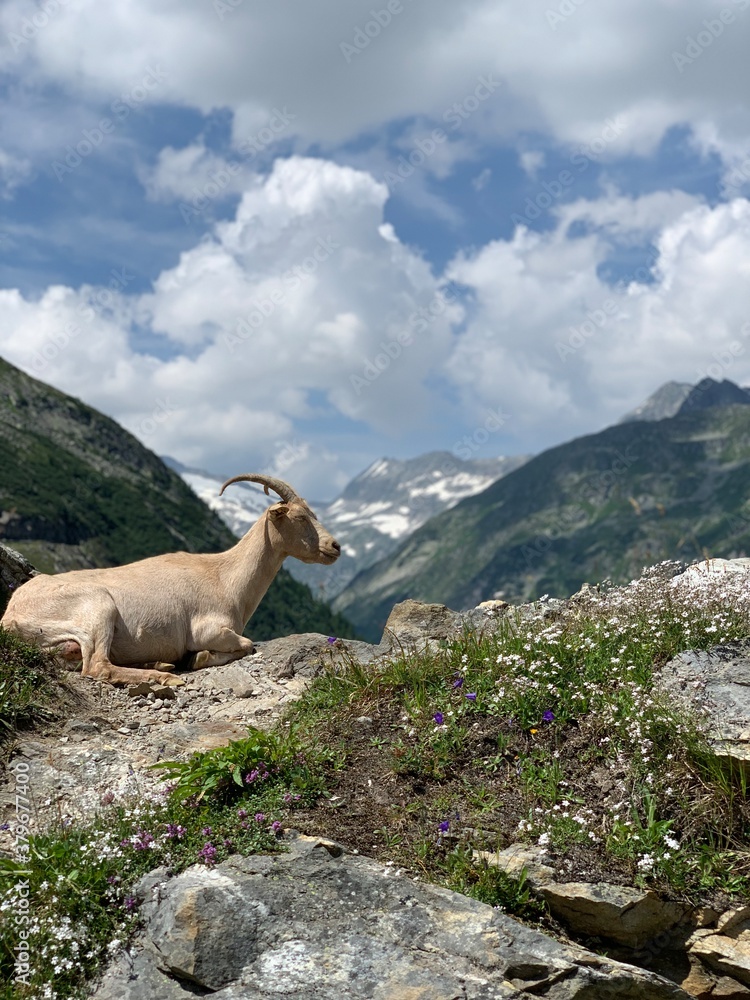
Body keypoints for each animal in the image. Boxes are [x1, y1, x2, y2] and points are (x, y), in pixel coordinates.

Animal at [0, 475, 340, 686]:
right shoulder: (208, 628)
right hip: (98, 607)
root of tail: (10, 616)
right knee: (96, 665)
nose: (334, 546)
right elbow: (246, 644)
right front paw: (198, 658)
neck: (225, 577)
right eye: (299, 517)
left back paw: (160, 665)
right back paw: (165, 676)